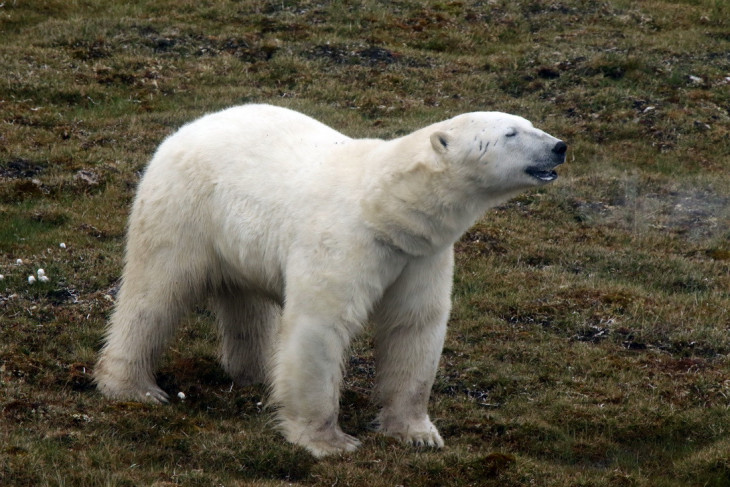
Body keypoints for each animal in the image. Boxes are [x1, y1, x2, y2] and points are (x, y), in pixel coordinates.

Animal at [94, 103, 564, 458]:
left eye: (528, 123)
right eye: (511, 133)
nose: (560, 147)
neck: (386, 208)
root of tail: (186, 129)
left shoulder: (420, 256)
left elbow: (414, 326)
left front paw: (417, 433)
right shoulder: (344, 240)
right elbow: (321, 325)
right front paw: (329, 442)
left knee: (246, 305)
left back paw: (256, 373)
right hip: (184, 209)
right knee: (155, 291)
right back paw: (134, 388)